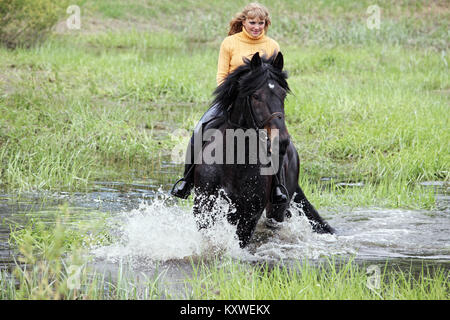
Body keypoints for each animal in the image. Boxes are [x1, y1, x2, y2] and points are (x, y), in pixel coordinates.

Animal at [188, 52, 332, 248]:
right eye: (256, 95)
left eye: (283, 94)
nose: (282, 141)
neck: (234, 159)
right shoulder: (204, 206)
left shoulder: (250, 214)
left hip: (277, 210)